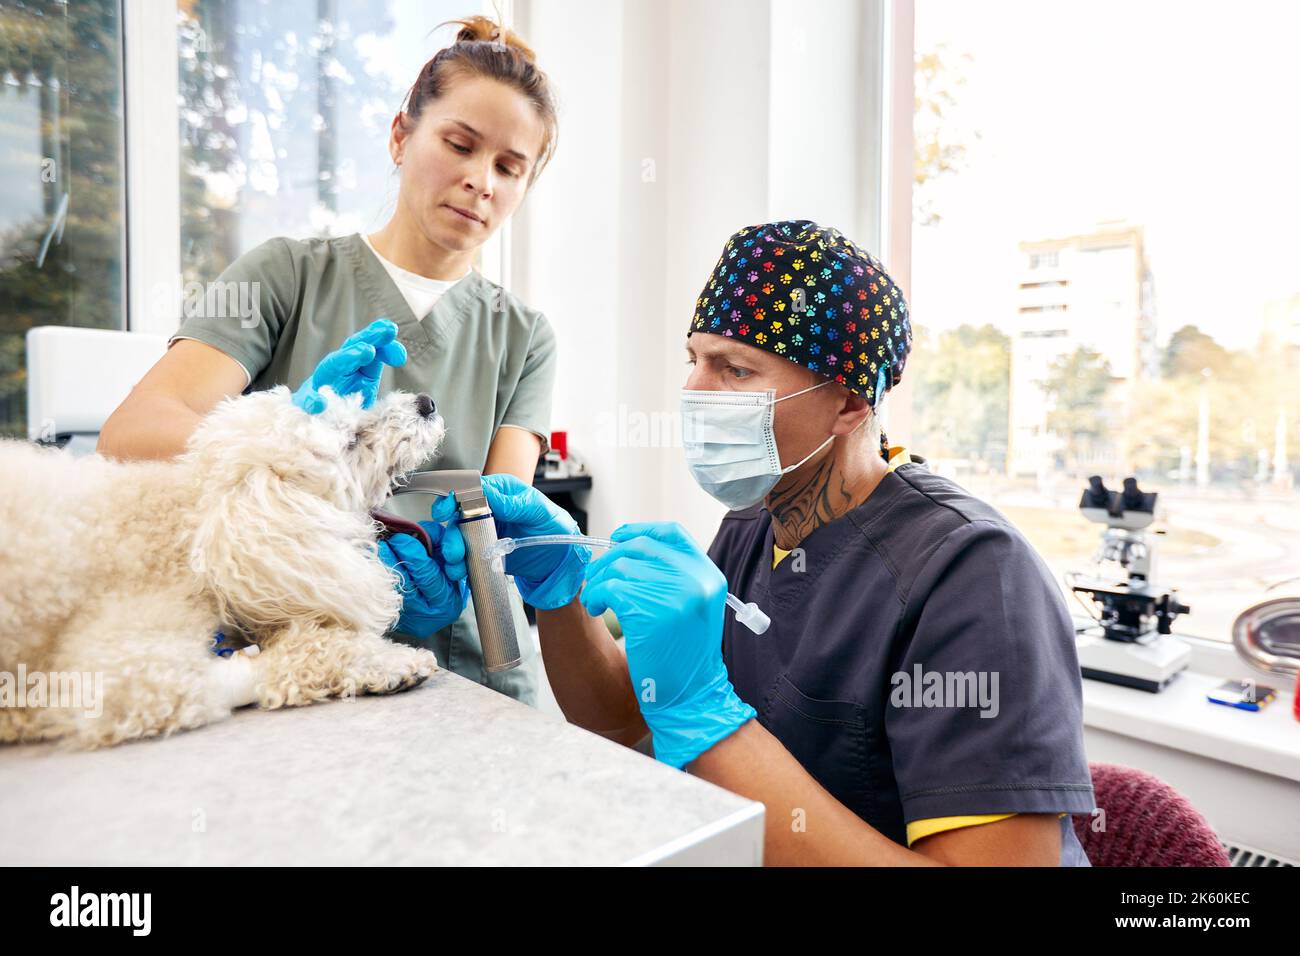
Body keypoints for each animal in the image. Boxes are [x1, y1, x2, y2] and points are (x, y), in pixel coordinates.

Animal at [0, 385, 447, 749]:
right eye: (353, 440)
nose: (426, 403)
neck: (192, 535)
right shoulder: (116, 670)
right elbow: (268, 663)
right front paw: (388, 664)